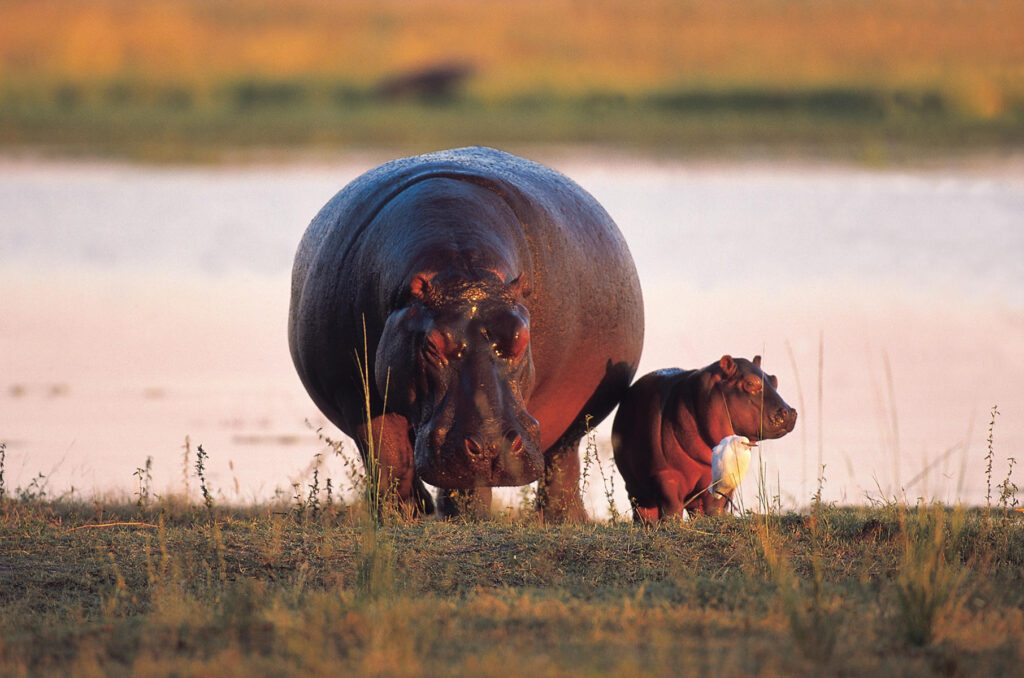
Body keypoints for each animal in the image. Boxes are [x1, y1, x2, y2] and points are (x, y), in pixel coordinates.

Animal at [288, 146, 638, 522]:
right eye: (431, 345)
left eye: (521, 339)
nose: (492, 447)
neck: (461, 270)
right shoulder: (355, 392)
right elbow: (387, 455)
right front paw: (401, 516)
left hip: (570, 421)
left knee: (561, 463)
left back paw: (561, 520)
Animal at [610, 358, 794, 522]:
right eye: (750, 382)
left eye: (774, 379)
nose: (790, 412)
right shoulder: (667, 476)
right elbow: (672, 505)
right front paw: (672, 523)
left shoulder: (717, 479)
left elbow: (716, 505)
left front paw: (716, 519)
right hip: (635, 486)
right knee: (643, 508)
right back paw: (647, 524)